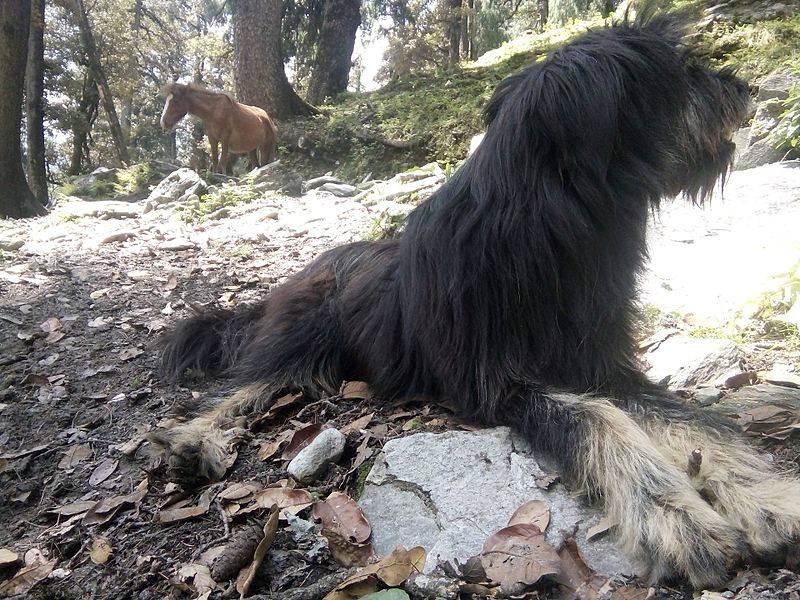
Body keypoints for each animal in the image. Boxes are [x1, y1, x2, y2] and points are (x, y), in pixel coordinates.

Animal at [152, 10, 800, 592]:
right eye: (679, 71)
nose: (742, 89)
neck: (545, 231)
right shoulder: (499, 382)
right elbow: (598, 420)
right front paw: (680, 519)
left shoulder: (603, 365)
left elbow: (701, 423)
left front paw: (769, 500)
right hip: (305, 335)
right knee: (242, 387)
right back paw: (192, 440)